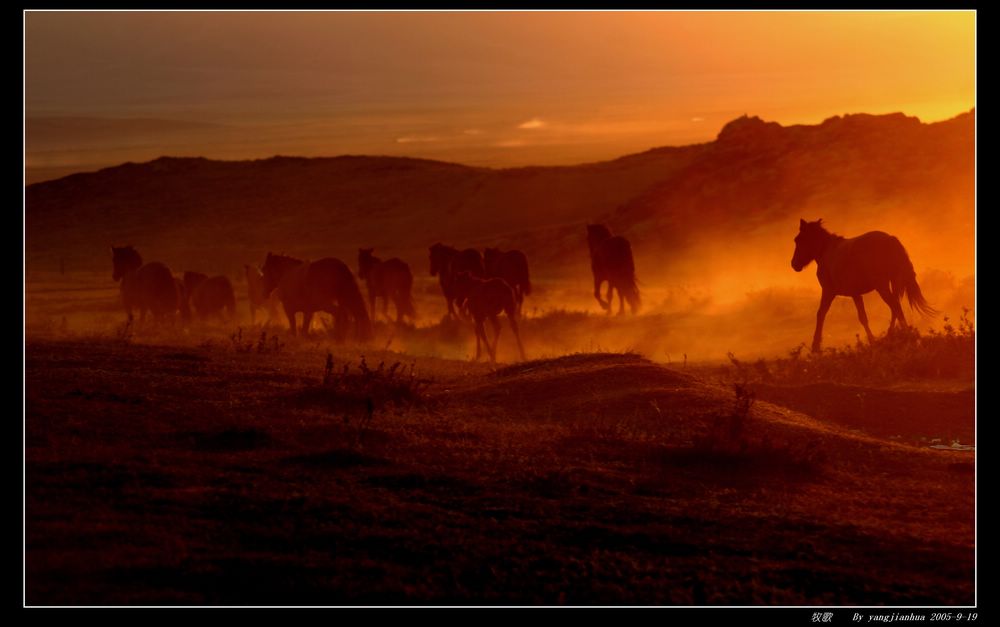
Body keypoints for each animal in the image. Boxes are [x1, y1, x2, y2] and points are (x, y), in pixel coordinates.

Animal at [788, 220, 936, 354]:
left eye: (798, 240)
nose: (794, 264)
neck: (826, 251)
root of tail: (890, 239)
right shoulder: (855, 294)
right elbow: (863, 318)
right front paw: (872, 341)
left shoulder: (828, 292)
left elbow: (820, 314)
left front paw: (816, 346)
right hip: (893, 282)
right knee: (895, 307)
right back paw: (892, 336)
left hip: (882, 286)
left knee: (895, 307)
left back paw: (903, 336)